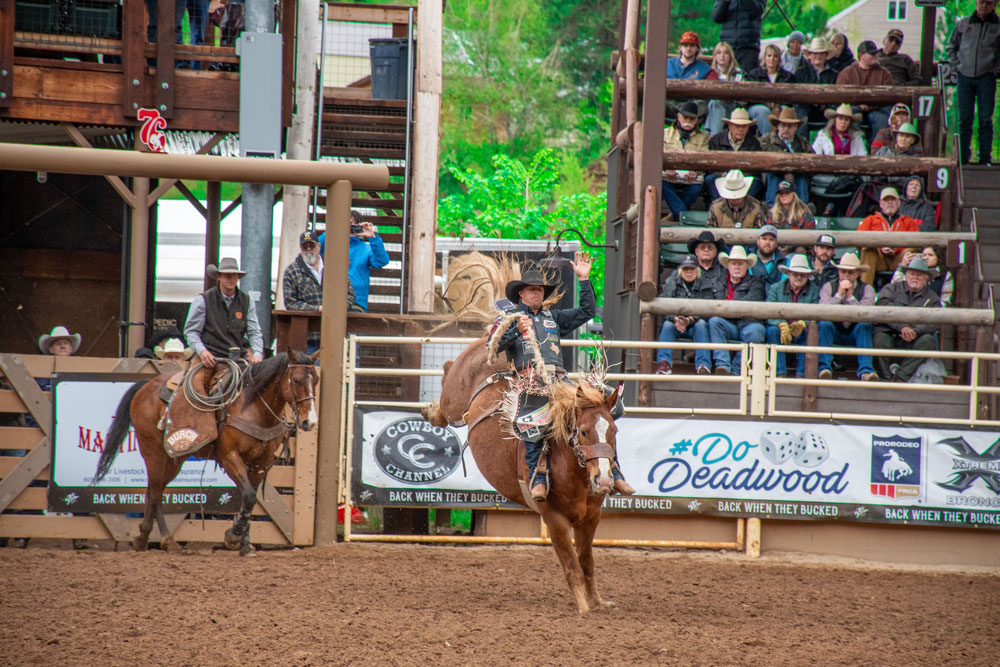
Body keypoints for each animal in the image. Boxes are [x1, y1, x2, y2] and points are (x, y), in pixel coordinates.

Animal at [93, 351, 319, 555]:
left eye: (315, 380)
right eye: (296, 379)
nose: (310, 421)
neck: (253, 407)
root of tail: (146, 385)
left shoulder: (261, 463)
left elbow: (251, 500)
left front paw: (245, 544)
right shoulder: (229, 456)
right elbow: (248, 496)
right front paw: (233, 537)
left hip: (174, 458)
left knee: (154, 490)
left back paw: (151, 539)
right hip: (153, 450)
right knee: (155, 491)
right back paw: (159, 540)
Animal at [424, 339, 620, 613]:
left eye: (613, 431)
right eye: (582, 432)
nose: (602, 480)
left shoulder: (591, 518)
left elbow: (587, 563)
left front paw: (599, 601)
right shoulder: (555, 519)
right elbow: (572, 566)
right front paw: (583, 606)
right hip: (454, 395)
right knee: (446, 380)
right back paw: (430, 410)